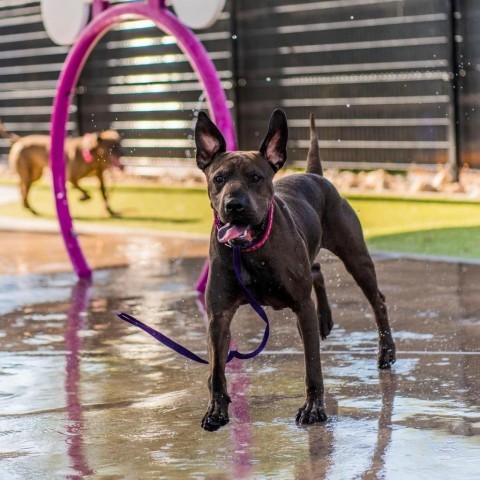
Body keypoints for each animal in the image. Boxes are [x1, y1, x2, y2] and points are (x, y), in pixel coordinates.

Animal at [195, 109, 398, 432]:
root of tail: (315, 175)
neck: (250, 250)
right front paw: (216, 410)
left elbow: (313, 366)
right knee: (316, 271)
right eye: (219, 178)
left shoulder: (302, 307)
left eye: (256, 177)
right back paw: (325, 319)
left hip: (356, 257)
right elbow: (216, 370)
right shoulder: (218, 316)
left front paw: (314, 409)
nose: (234, 204)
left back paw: (386, 352)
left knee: (377, 300)